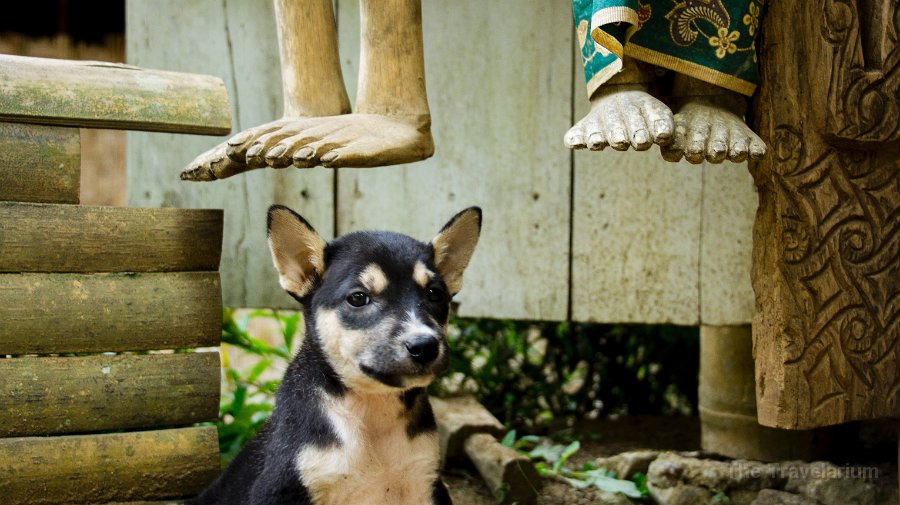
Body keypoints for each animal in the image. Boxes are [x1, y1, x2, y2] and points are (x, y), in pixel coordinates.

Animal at [193, 205, 482, 504]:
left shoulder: (425, 482)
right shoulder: (280, 489)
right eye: (358, 298)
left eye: (435, 294)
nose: (425, 346)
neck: (372, 411)